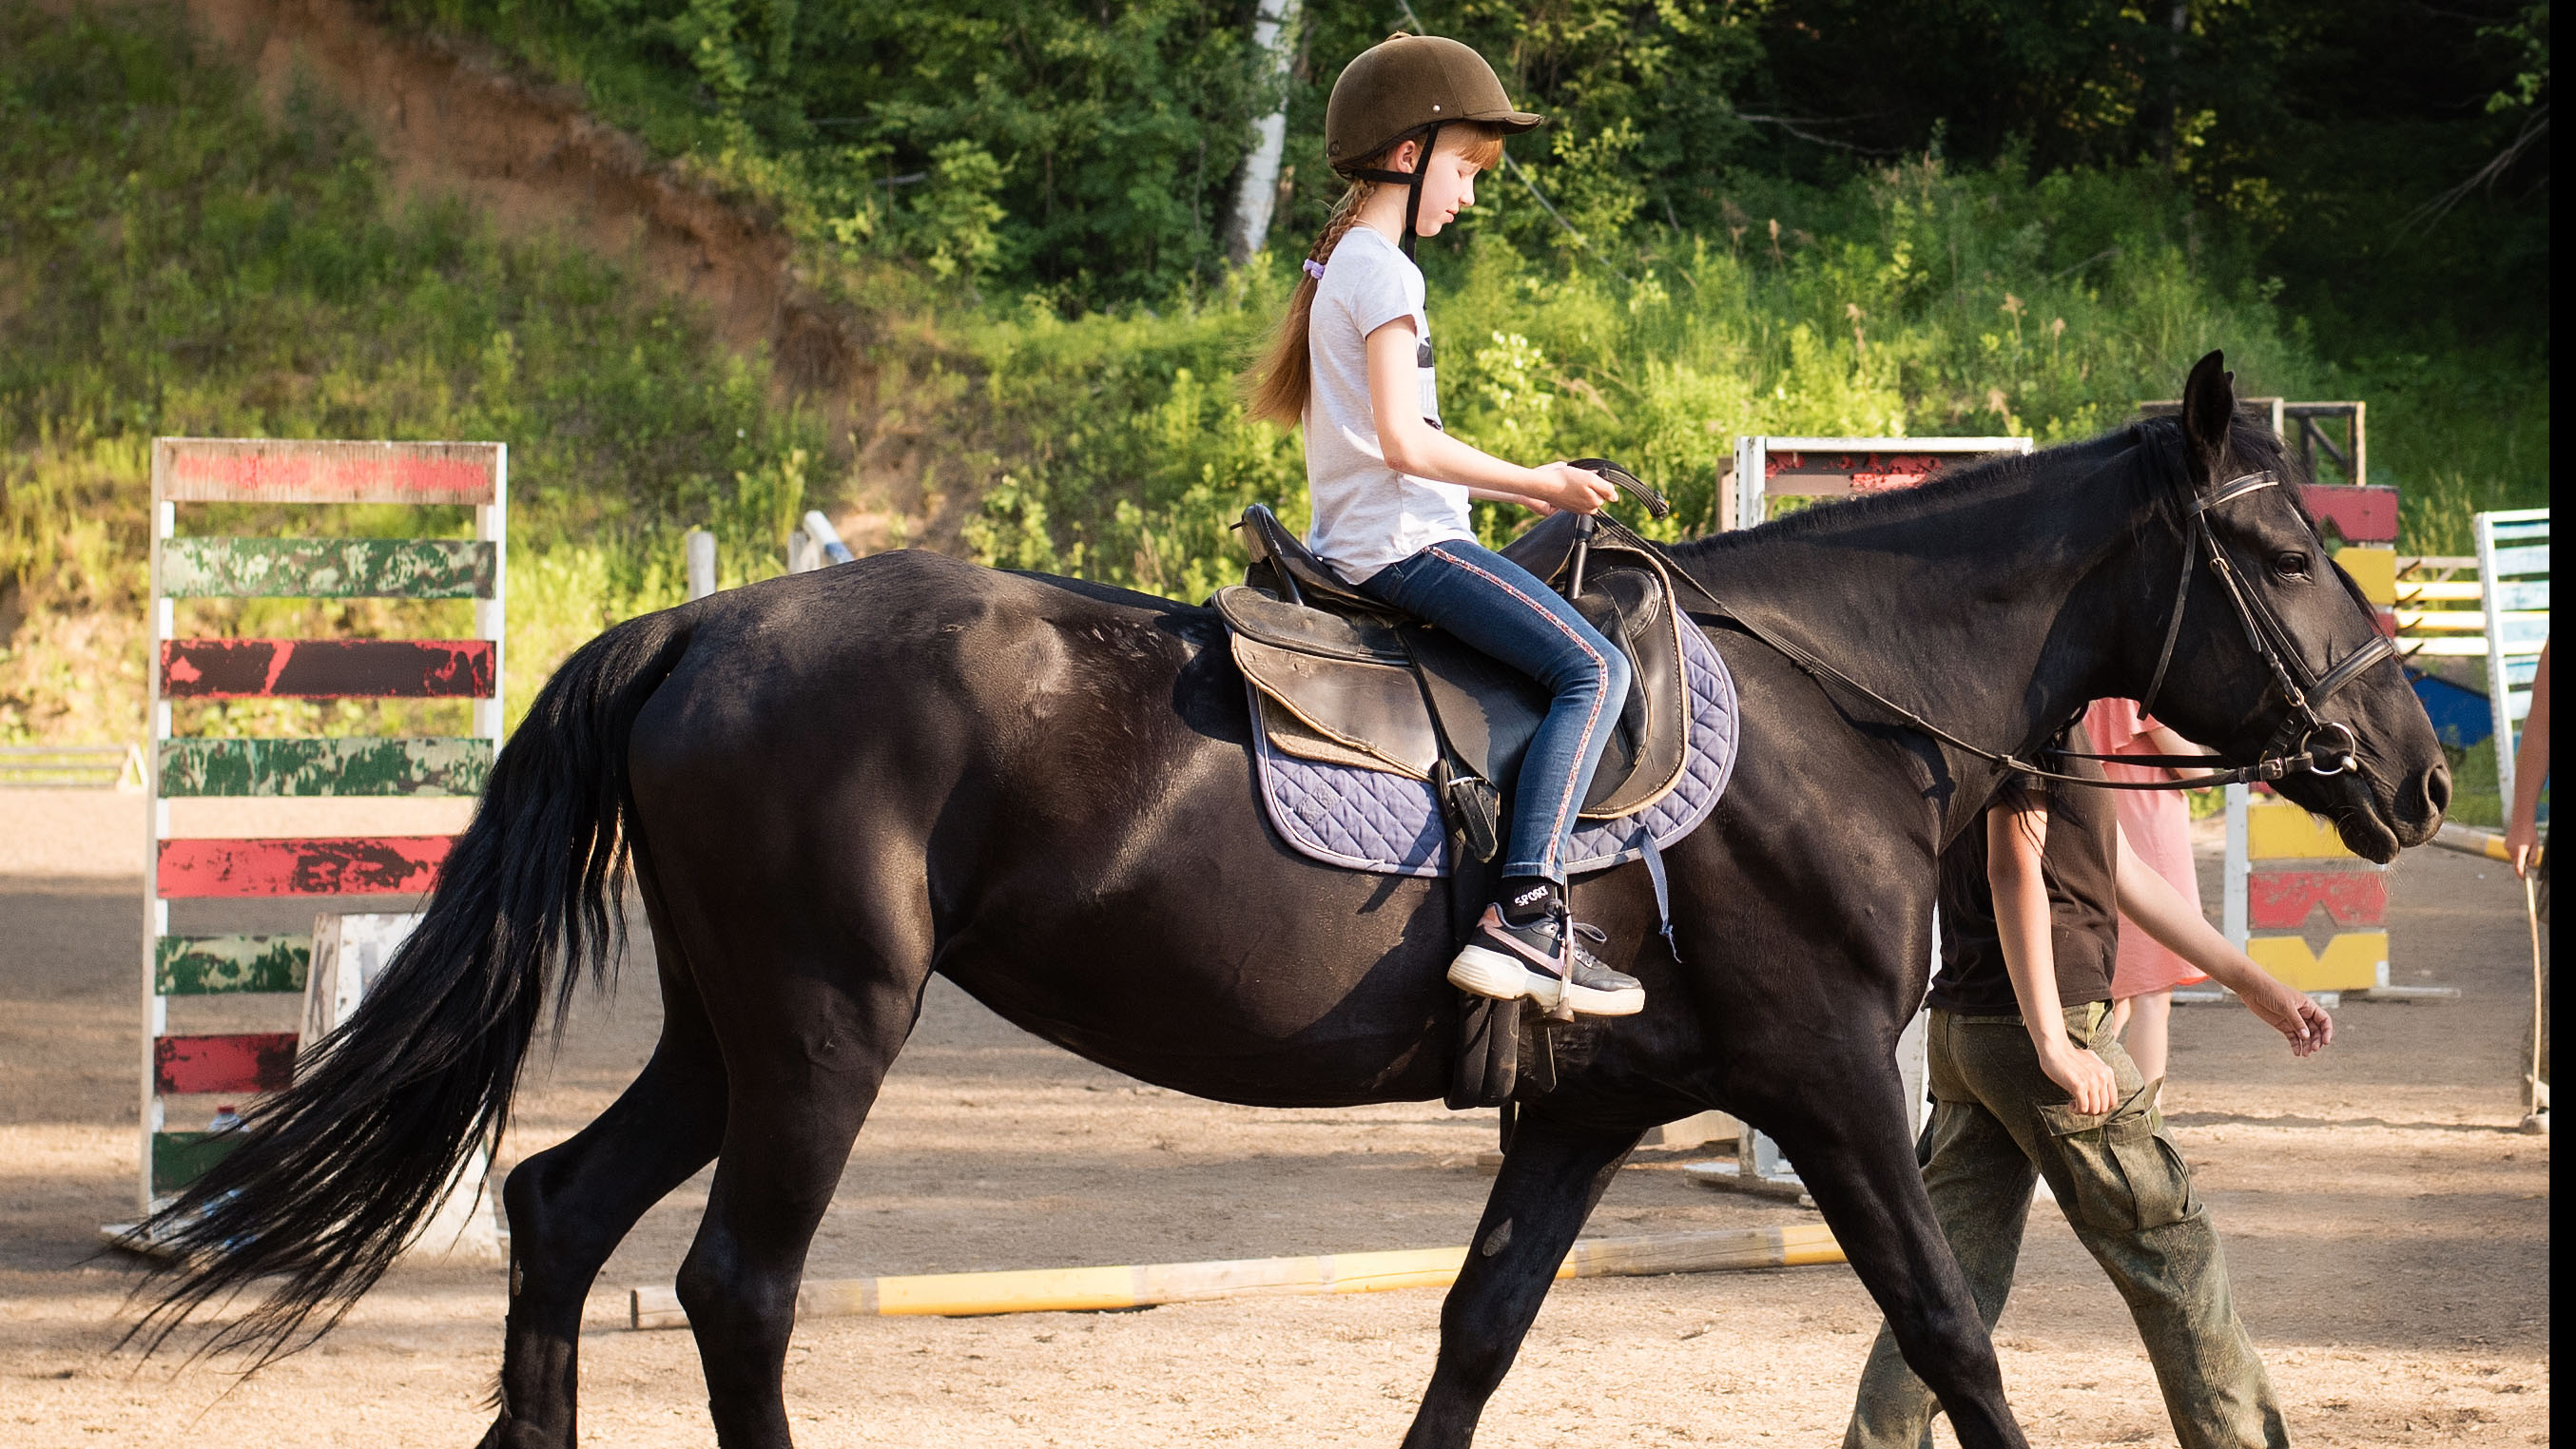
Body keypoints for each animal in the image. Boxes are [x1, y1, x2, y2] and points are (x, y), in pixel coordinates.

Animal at [135, 355, 2431, 1449]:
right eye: (2281, 548)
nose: (2409, 770)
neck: (1824, 700)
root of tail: (699, 627)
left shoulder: (1592, 1112)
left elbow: (1476, 1338)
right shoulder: (1824, 1087)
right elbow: (1949, 1333)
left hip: (728, 1025)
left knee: (556, 1215)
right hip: (820, 1028)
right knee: (734, 1287)